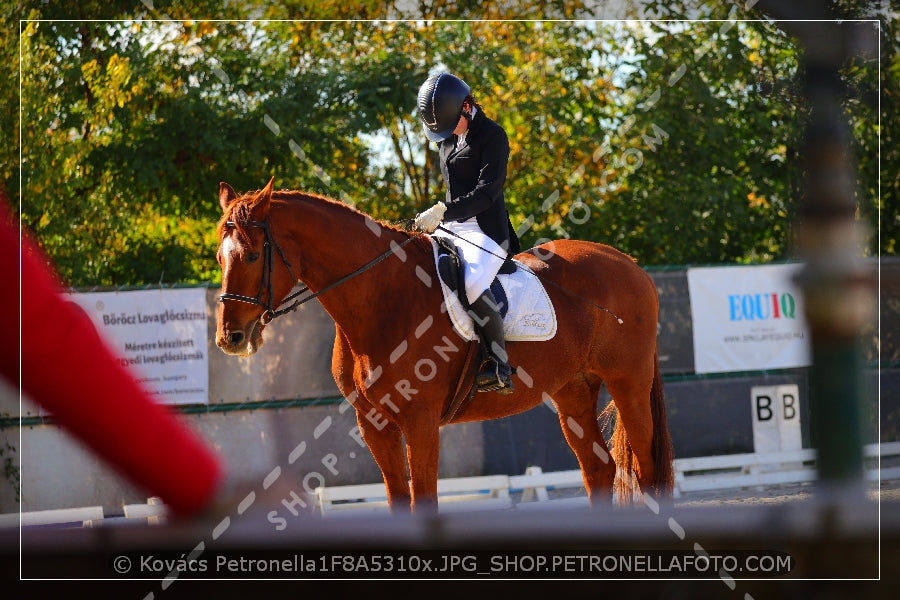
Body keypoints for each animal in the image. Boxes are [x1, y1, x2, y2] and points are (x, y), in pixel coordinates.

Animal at [214, 176, 672, 512]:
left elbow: (425, 502)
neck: (382, 296)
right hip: (572, 390)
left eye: (253, 256)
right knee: (599, 471)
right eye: (220, 258)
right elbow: (400, 502)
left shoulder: (420, 420)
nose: (230, 338)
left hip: (628, 383)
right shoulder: (374, 424)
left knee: (648, 472)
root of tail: (630, 266)